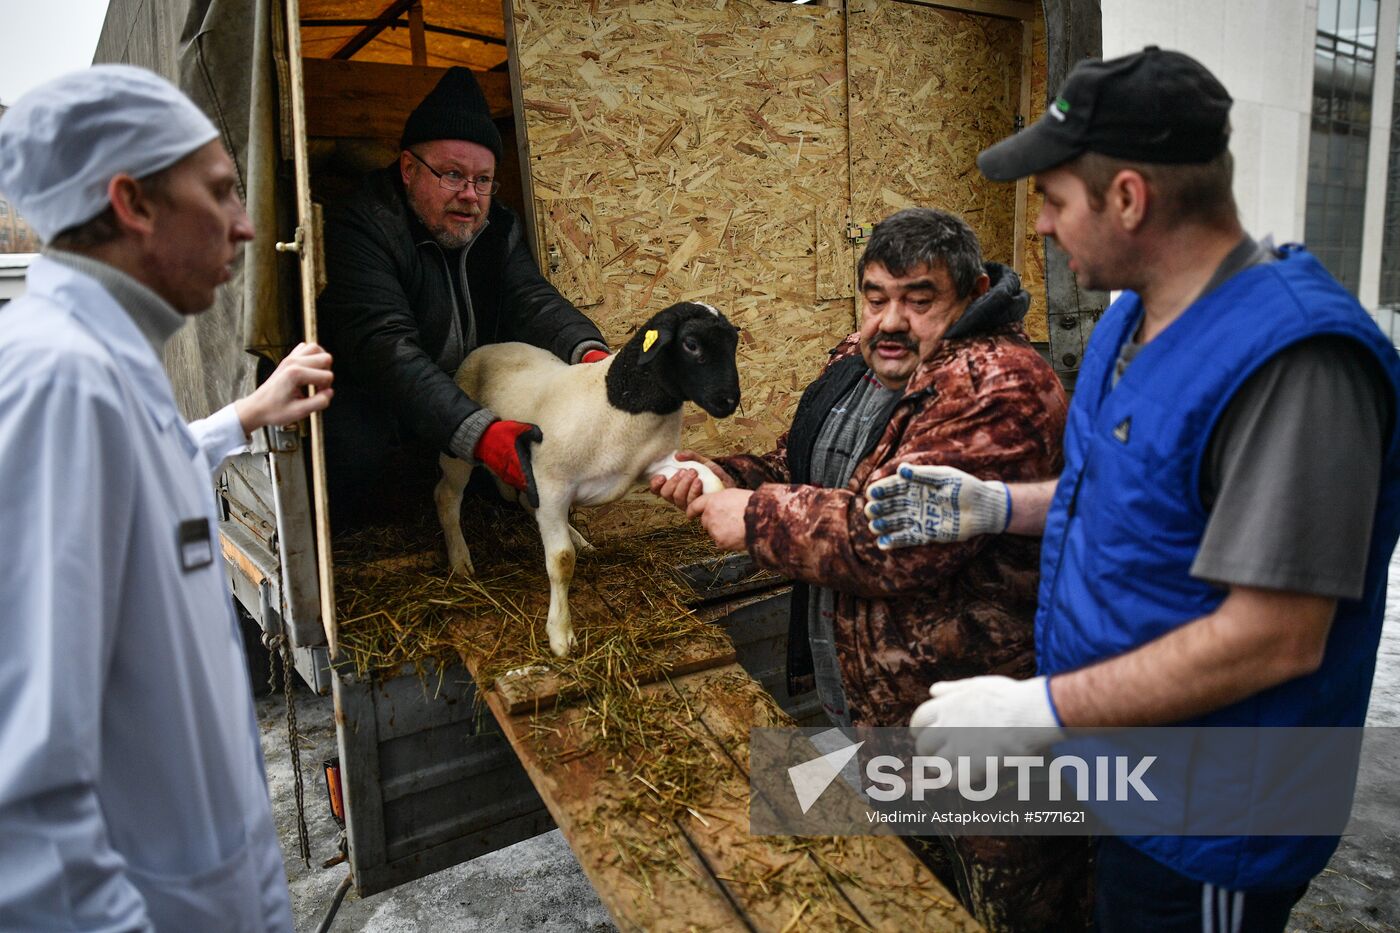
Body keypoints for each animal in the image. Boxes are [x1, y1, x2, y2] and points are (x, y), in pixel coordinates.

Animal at [436, 301, 744, 650]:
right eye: (691, 344)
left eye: (733, 343)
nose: (729, 401)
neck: (617, 403)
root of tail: (488, 347)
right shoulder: (552, 486)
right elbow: (560, 560)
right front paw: (561, 635)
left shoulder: (654, 463)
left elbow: (711, 480)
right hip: (459, 453)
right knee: (447, 497)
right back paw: (461, 563)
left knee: (525, 503)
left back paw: (581, 540)